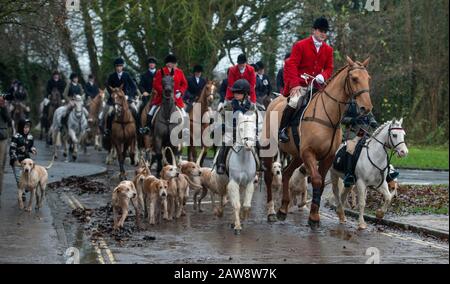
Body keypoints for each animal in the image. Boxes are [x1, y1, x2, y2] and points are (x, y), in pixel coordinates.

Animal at [260, 56, 372, 229]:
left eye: (368, 78)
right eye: (354, 78)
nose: (366, 108)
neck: (328, 116)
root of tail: (275, 99)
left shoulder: (327, 157)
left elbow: (320, 183)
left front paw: (314, 214)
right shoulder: (309, 153)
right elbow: (317, 180)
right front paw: (313, 218)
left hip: (297, 155)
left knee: (286, 173)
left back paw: (283, 209)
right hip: (271, 148)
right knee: (268, 177)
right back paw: (271, 212)